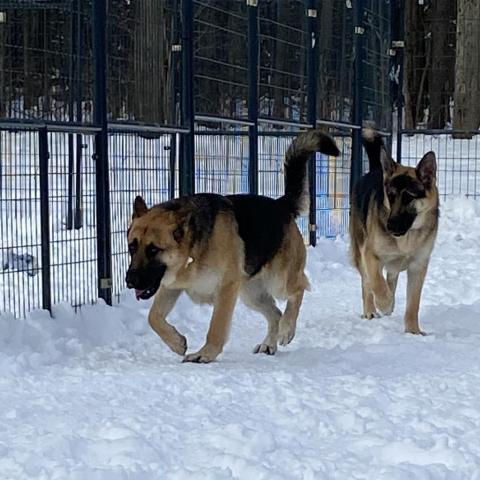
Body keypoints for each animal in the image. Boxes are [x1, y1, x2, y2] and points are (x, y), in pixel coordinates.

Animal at [125, 129, 340, 362]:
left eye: (154, 249)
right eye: (132, 247)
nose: (129, 280)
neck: (192, 251)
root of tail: (280, 204)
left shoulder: (226, 288)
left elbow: (216, 327)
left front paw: (205, 354)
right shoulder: (170, 286)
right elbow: (153, 317)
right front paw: (176, 342)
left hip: (278, 281)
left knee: (298, 289)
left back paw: (286, 330)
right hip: (251, 294)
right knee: (275, 313)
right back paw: (269, 344)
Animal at [348, 129, 438, 336]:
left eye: (409, 197)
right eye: (390, 196)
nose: (390, 227)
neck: (408, 236)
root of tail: (376, 168)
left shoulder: (418, 266)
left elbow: (413, 303)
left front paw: (413, 331)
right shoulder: (370, 255)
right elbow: (376, 283)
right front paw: (385, 303)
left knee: (391, 277)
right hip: (361, 251)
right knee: (367, 283)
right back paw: (372, 310)